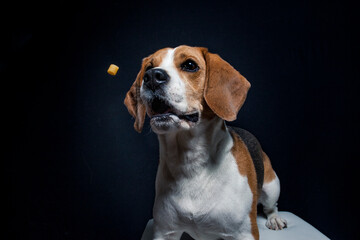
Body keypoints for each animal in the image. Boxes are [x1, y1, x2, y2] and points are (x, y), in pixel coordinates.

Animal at [124, 45, 286, 240]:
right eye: (148, 67)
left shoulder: (245, 233)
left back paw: (274, 219)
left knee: (271, 206)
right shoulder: (164, 232)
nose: (152, 77)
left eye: (190, 65)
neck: (190, 163)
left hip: (272, 186)